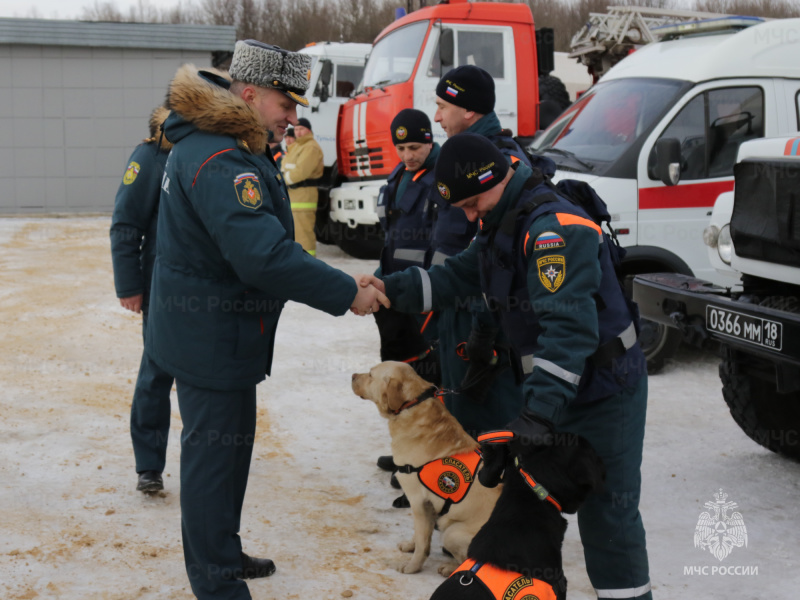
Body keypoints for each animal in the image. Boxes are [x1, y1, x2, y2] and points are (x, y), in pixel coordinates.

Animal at [350, 360, 500, 576]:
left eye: (370, 375)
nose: (352, 375)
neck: (410, 406)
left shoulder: (417, 500)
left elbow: (423, 542)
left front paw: (412, 566)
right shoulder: (425, 506)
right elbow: (420, 534)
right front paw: (410, 546)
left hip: (452, 531)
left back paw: (449, 568)